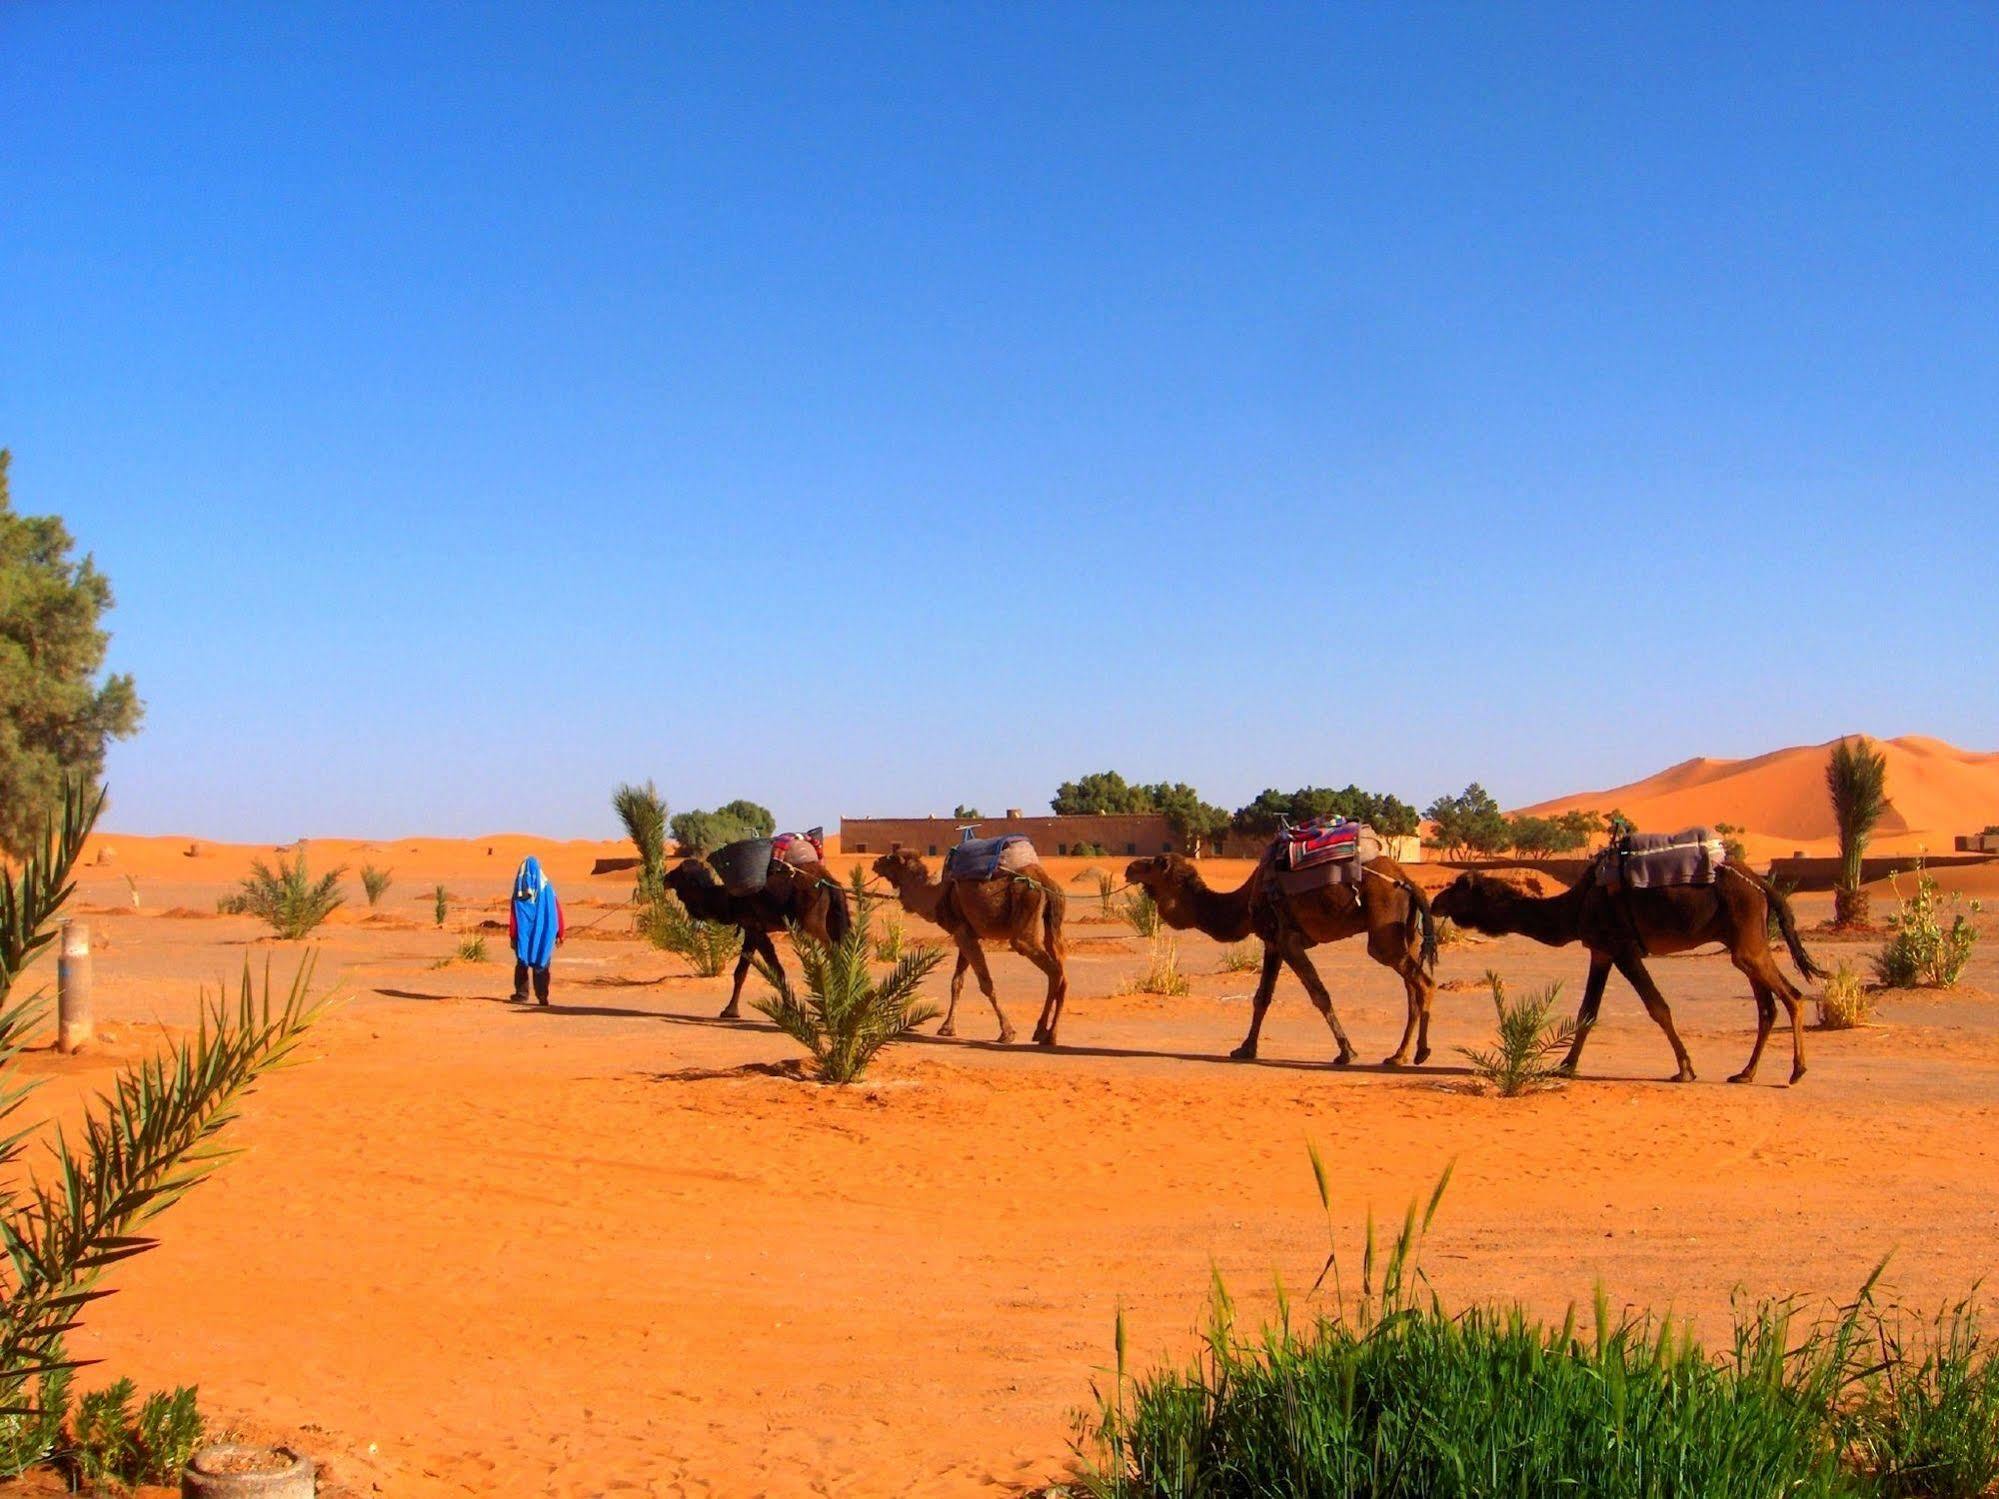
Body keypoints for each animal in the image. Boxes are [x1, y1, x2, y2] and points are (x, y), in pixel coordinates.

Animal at [663, 855, 851, 1023]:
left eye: (679, 872)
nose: (665, 878)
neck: (727, 899)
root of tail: (828, 882)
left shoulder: (754, 927)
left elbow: (770, 970)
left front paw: (789, 1011)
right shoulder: (750, 930)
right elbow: (744, 971)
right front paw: (732, 1011)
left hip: (810, 924)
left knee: (832, 952)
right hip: (832, 918)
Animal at [867, 851, 1071, 1047]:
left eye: (891, 857)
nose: (875, 863)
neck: (936, 896)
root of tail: (1045, 881)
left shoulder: (963, 935)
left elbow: (986, 984)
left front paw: (1007, 1032)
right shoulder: (965, 933)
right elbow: (957, 982)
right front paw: (947, 1028)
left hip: (1027, 912)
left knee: (1052, 969)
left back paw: (1040, 1030)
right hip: (1052, 921)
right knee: (1062, 973)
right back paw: (1051, 1036)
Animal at [1127, 855, 1439, 1071]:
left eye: (1156, 862)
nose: (1130, 867)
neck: (1244, 902)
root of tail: (1408, 883)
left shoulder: (1287, 940)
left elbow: (1320, 995)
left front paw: (1346, 1052)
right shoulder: (1272, 943)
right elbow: (1262, 997)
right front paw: (1245, 1049)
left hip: (1383, 935)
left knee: (1424, 982)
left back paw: (1421, 1052)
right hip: (1406, 935)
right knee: (1412, 990)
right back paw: (1398, 1056)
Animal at [1439, 863, 1831, 1087]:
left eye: (1458, 888)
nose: (1435, 902)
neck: (1575, 906)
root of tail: (1763, 886)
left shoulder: (1622, 947)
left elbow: (1658, 1007)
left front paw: (1685, 1069)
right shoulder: (1600, 950)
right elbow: (1587, 1013)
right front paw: (1564, 1067)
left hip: (1746, 937)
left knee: (1793, 996)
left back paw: (1796, 1072)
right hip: (1745, 943)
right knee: (1767, 1007)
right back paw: (1745, 1074)